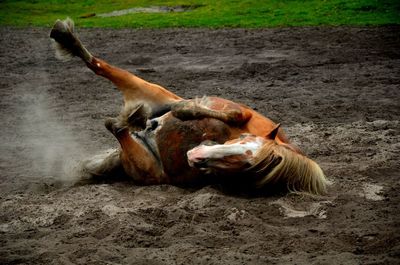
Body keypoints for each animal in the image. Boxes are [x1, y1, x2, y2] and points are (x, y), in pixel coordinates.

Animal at [50, 17, 326, 193]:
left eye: (247, 164)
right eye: (243, 139)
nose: (196, 154)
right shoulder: (243, 113)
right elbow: (228, 113)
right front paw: (184, 111)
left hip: (145, 164)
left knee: (115, 126)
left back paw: (135, 117)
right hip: (149, 89)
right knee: (98, 66)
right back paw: (65, 36)